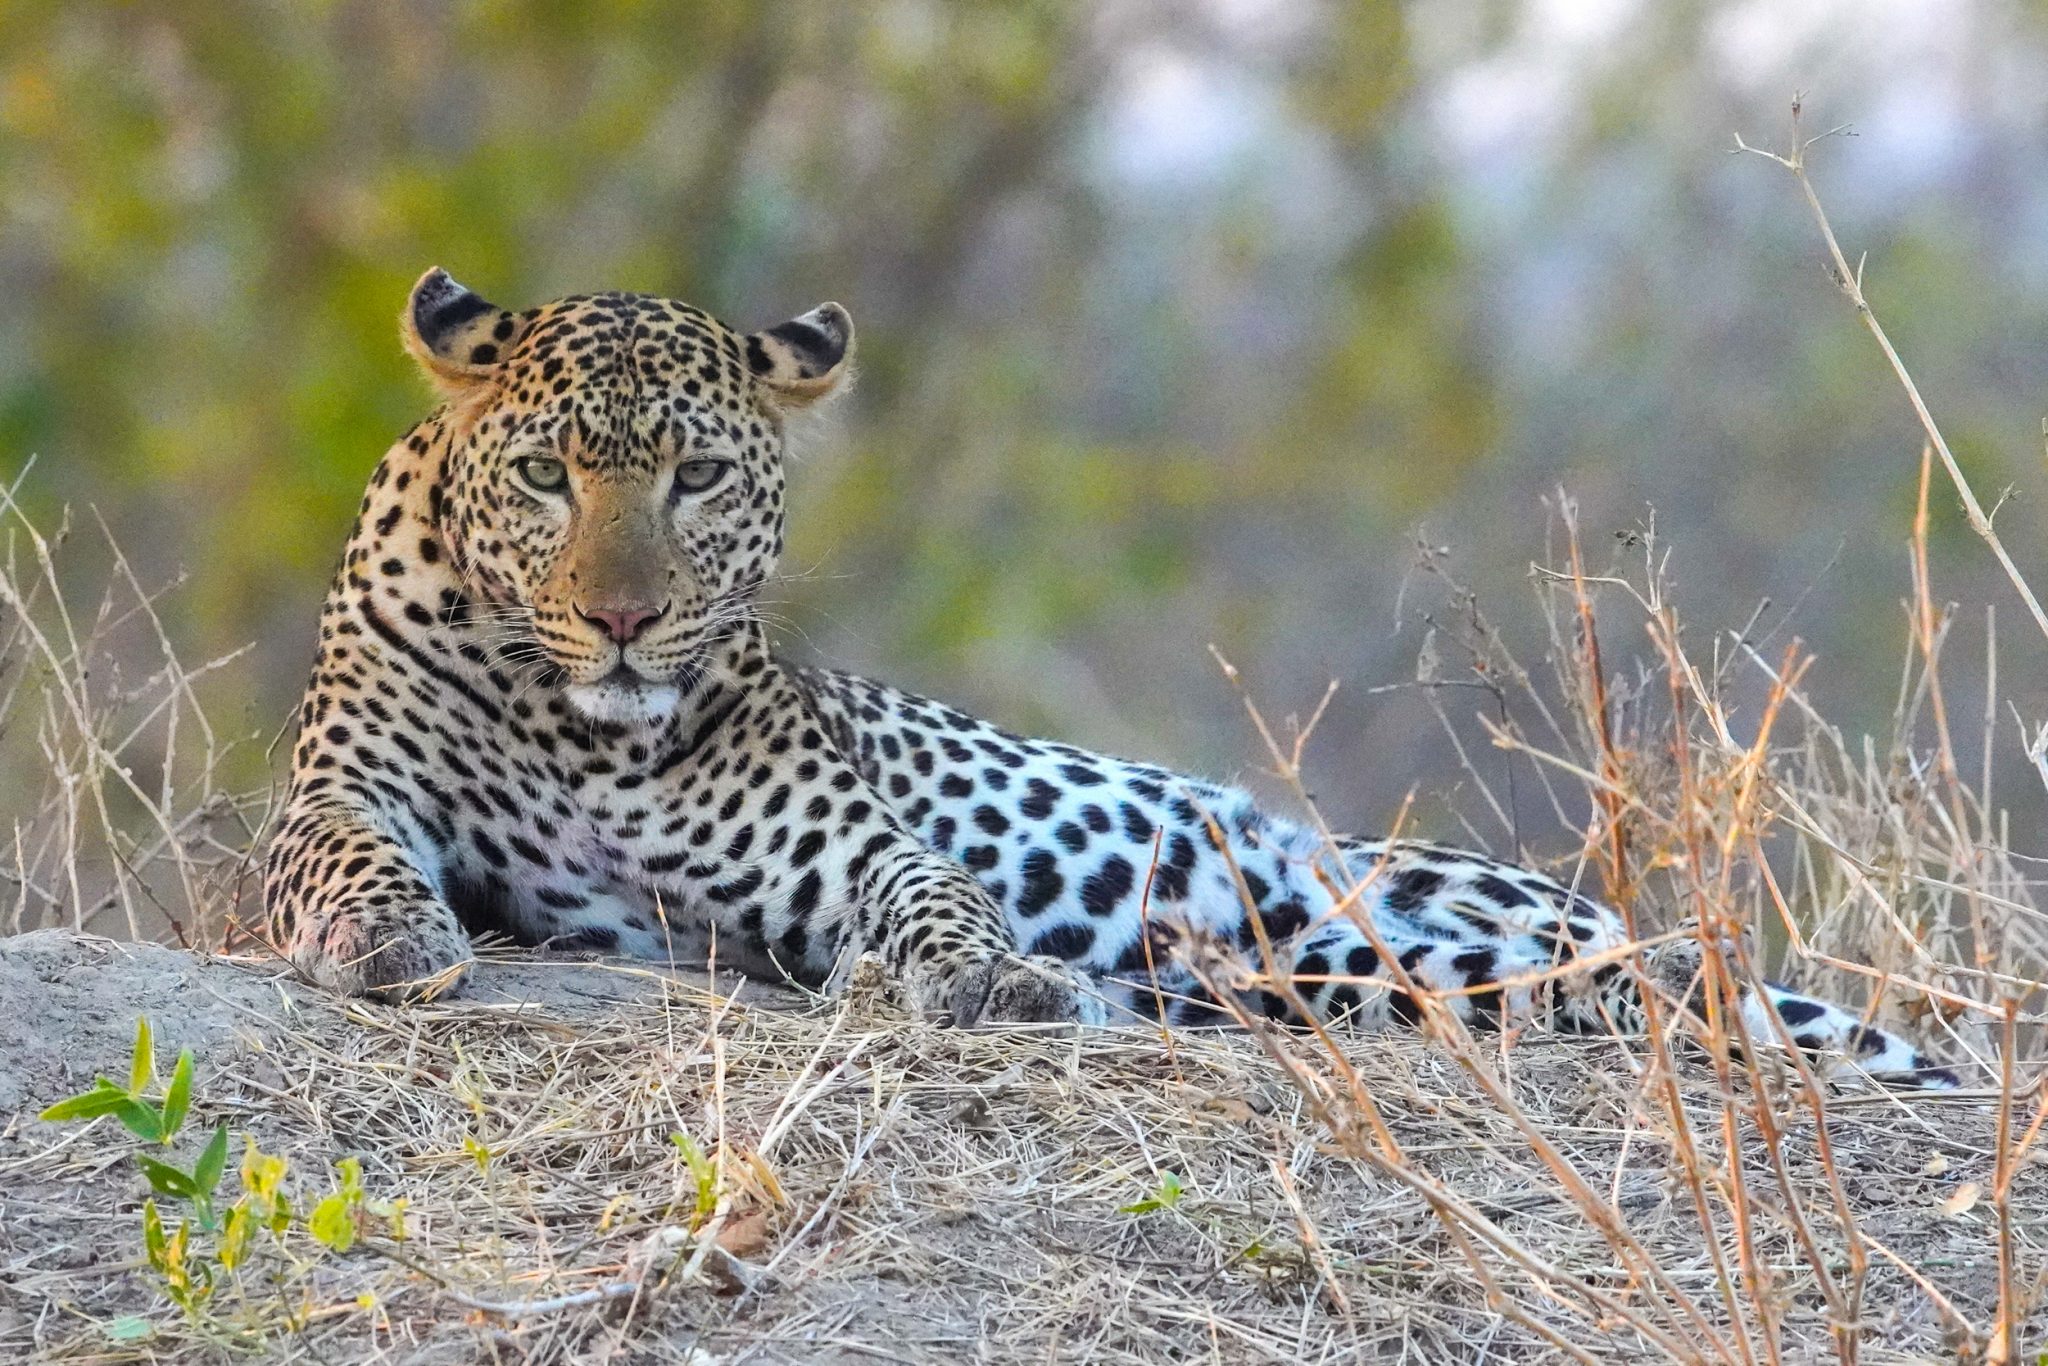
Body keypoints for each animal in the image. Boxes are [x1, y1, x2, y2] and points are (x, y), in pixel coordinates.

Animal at [263, 269, 1960, 1089]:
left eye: (696, 479)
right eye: (545, 476)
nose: (623, 619)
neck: (584, 731)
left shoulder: (845, 848)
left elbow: (935, 888)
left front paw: (1001, 974)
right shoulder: (334, 790)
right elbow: (344, 857)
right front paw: (388, 940)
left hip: (1466, 919)